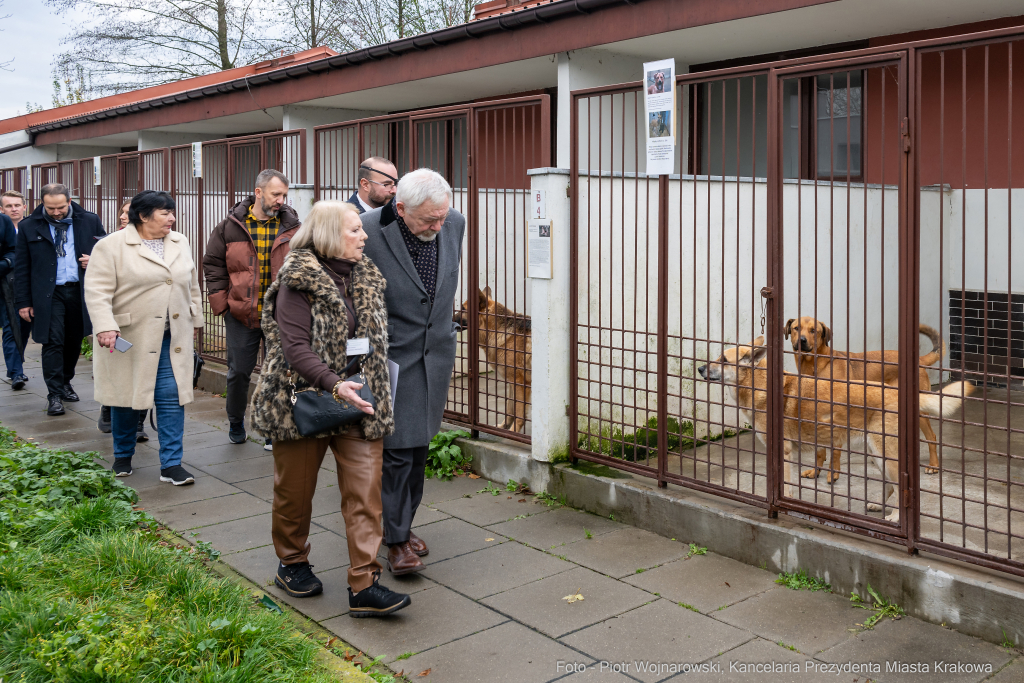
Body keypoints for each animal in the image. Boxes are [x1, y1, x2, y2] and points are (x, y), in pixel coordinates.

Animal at [458, 288, 536, 432]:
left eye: (463, 309)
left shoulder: (520, 383)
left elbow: (519, 414)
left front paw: (513, 433)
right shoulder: (512, 383)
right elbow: (510, 409)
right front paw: (504, 427)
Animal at [700, 337, 970, 524]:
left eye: (724, 361)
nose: (701, 369)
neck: (759, 383)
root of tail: (896, 394)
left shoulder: (782, 453)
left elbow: (784, 487)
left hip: (887, 454)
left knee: (902, 487)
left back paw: (894, 518)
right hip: (877, 454)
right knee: (891, 486)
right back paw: (877, 507)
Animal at [786, 319, 946, 483]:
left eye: (814, 330)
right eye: (796, 328)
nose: (802, 340)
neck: (817, 364)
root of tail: (918, 360)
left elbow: (835, 451)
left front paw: (833, 474)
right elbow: (819, 452)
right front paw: (815, 472)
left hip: (919, 412)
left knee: (932, 437)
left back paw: (933, 465)